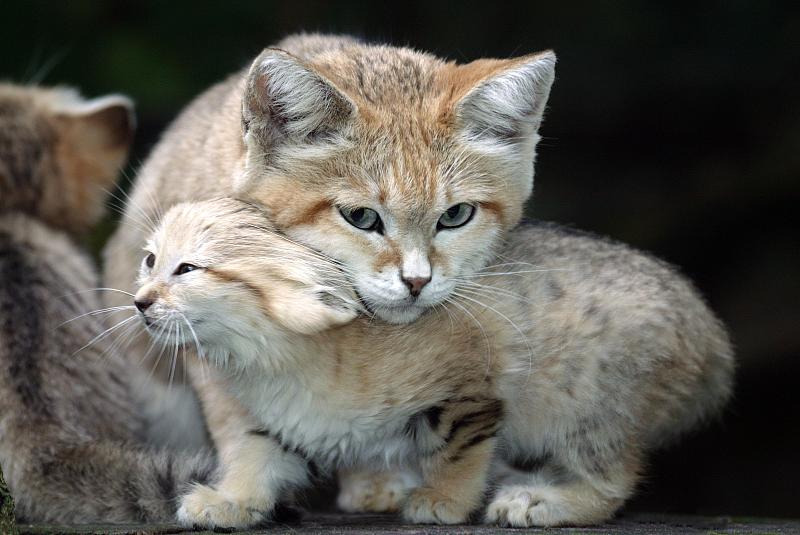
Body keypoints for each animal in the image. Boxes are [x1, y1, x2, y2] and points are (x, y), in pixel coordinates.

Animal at [136, 199, 732, 528]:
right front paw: (231, 502)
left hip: (592, 404)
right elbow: (255, 457)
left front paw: (447, 499)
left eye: (187, 270)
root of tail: (712, 333)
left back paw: (546, 500)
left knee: (613, 481)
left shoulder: (469, 385)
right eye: (149, 260)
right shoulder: (281, 421)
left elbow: (460, 446)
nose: (139, 300)